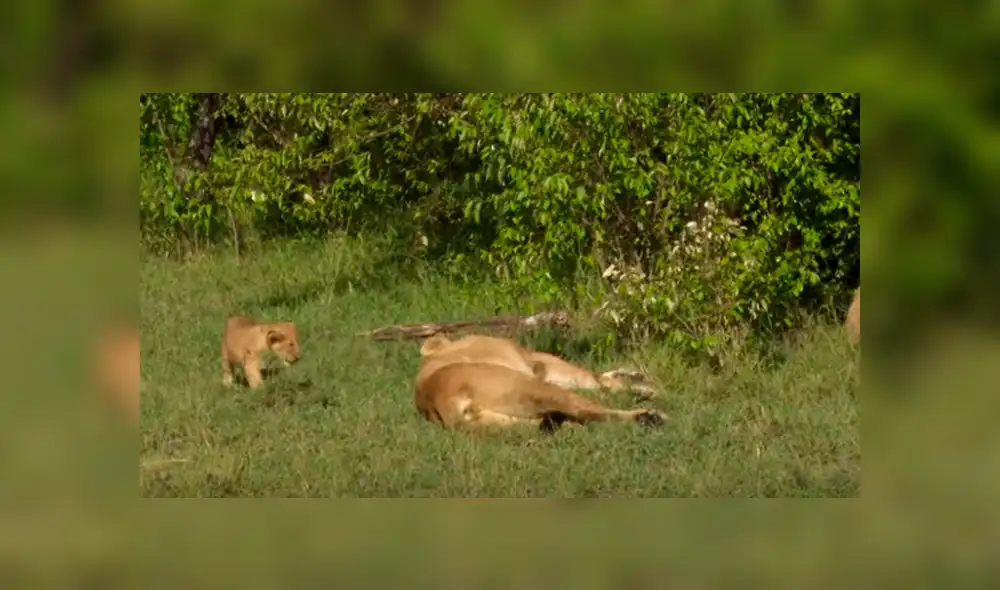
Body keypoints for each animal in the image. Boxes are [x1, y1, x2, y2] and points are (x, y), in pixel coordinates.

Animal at [415, 333, 665, 432]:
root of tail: (436, 398)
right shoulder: (537, 363)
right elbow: (594, 379)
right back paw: (650, 416)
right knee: (586, 408)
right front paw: (643, 385)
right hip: (532, 387)